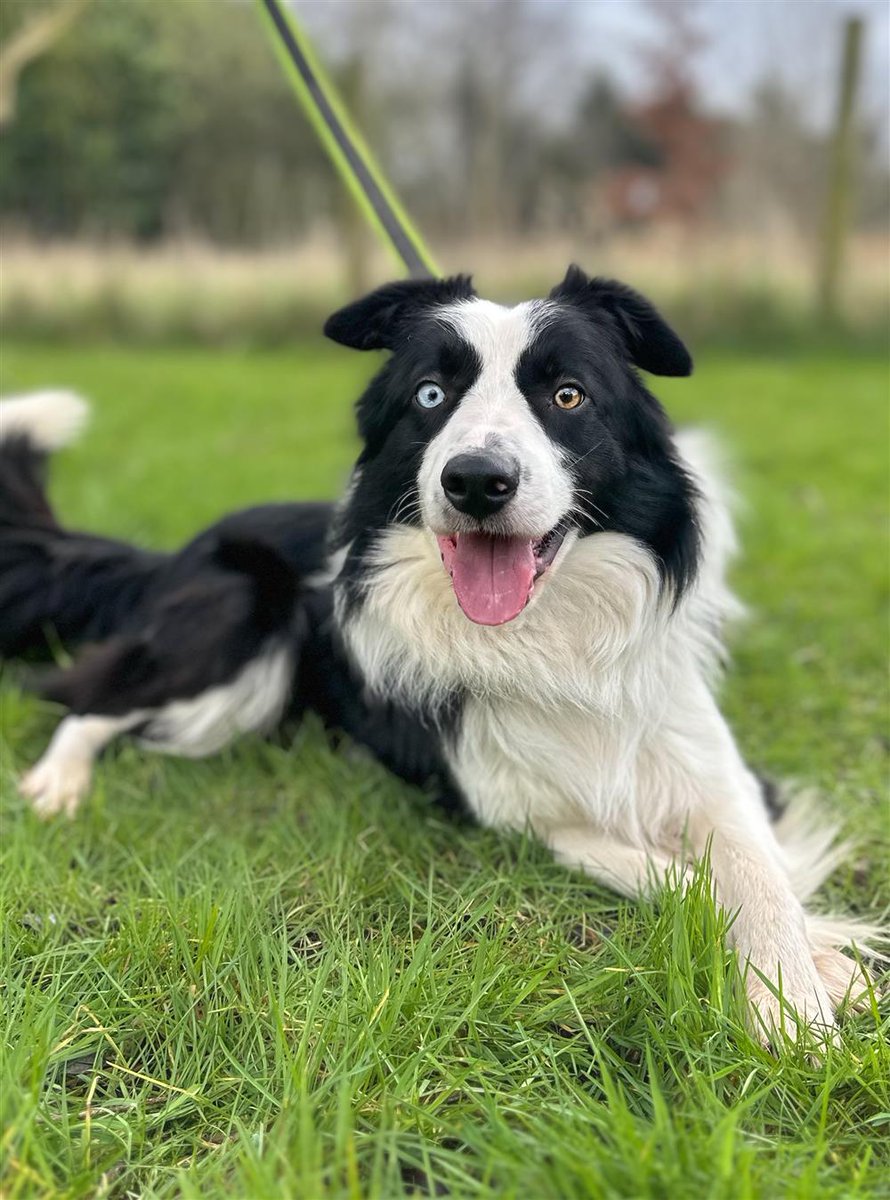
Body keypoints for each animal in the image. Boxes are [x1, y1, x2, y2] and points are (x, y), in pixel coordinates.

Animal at [1, 270, 887, 1041]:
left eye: (568, 395)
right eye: (431, 396)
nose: (477, 480)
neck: (550, 638)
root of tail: (176, 552)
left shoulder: (716, 772)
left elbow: (755, 872)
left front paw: (796, 991)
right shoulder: (519, 811)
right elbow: (681, 876)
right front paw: (816, 979)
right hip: (237, 632)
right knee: (95, 694)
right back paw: (58, 783)